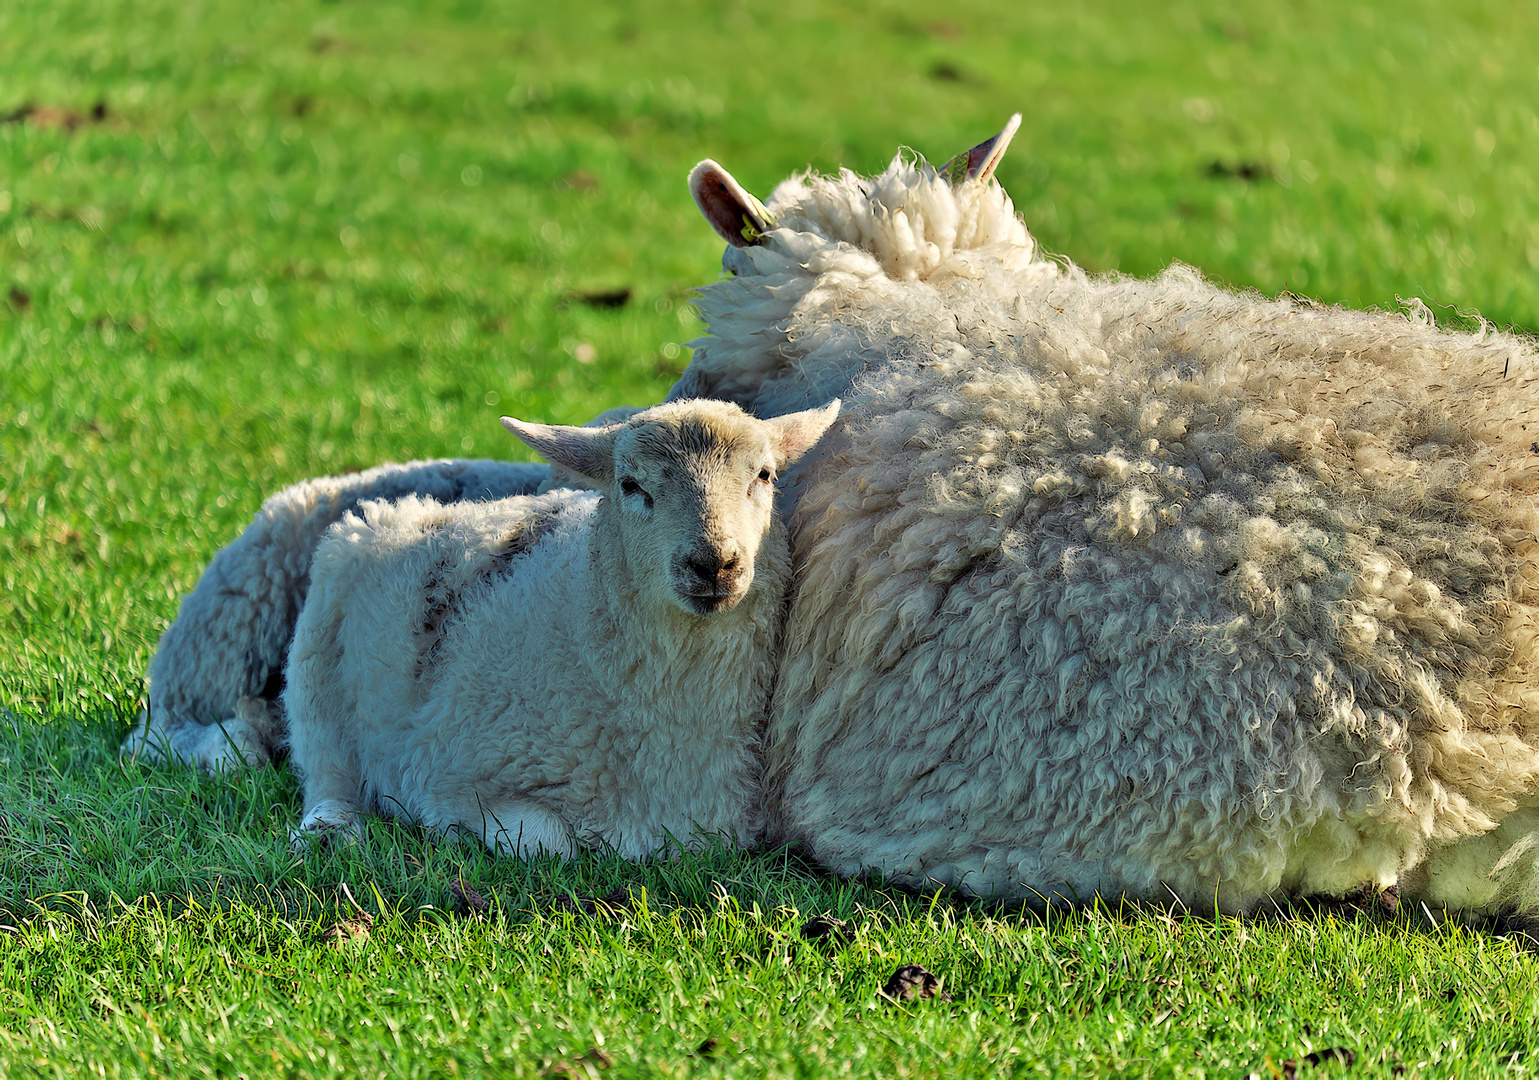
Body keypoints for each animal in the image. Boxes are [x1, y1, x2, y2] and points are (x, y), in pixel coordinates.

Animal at [287, 400, 843, 861]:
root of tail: (409, 510)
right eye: (630, 485)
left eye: (765, 475)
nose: (714, 564)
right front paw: (445, 830)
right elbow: (551, 841)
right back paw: (329, 827)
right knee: (325, 766)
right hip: (315, 657)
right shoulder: (446, 771)